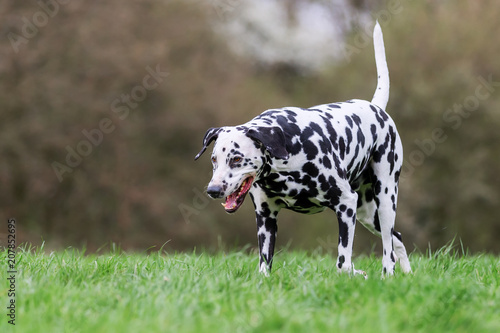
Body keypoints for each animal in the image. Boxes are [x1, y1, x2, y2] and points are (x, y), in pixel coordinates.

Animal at [195, 23, 410, 276]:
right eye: (214, 160)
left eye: (237, 159)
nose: (213, 190)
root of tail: (376, 107)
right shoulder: (266, 217)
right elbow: (264, 265)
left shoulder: (346, 205)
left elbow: (344, 261)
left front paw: (351, 273)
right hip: (367, 213)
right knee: (397, 237)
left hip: (385, 200)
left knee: (388, 248)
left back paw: (388, 273)